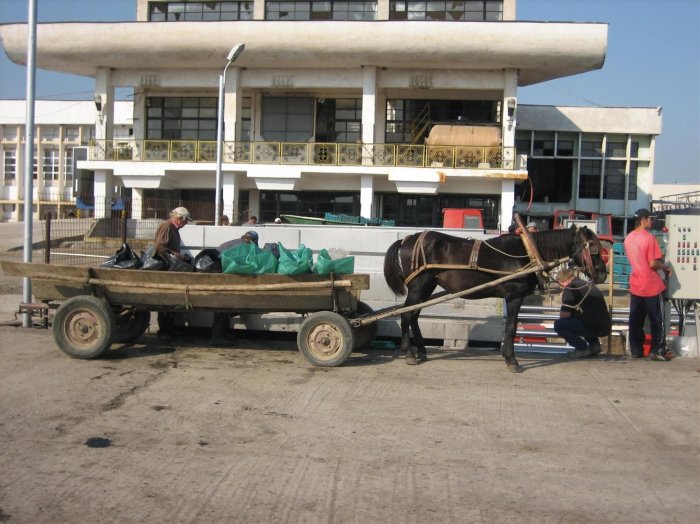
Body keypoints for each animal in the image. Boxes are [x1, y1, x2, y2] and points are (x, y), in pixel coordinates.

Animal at [382, 226, 608, 372]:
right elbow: (511, 328)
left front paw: (508, 356)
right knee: (406, 315)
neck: (527, 253)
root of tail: (406, 240)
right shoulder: (514, 296)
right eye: (594, 248)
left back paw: (421, 351)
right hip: (418, 286)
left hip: (426, 287)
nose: (603, 275)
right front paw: (512, 360)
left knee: (413, 316)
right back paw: (409, 354)